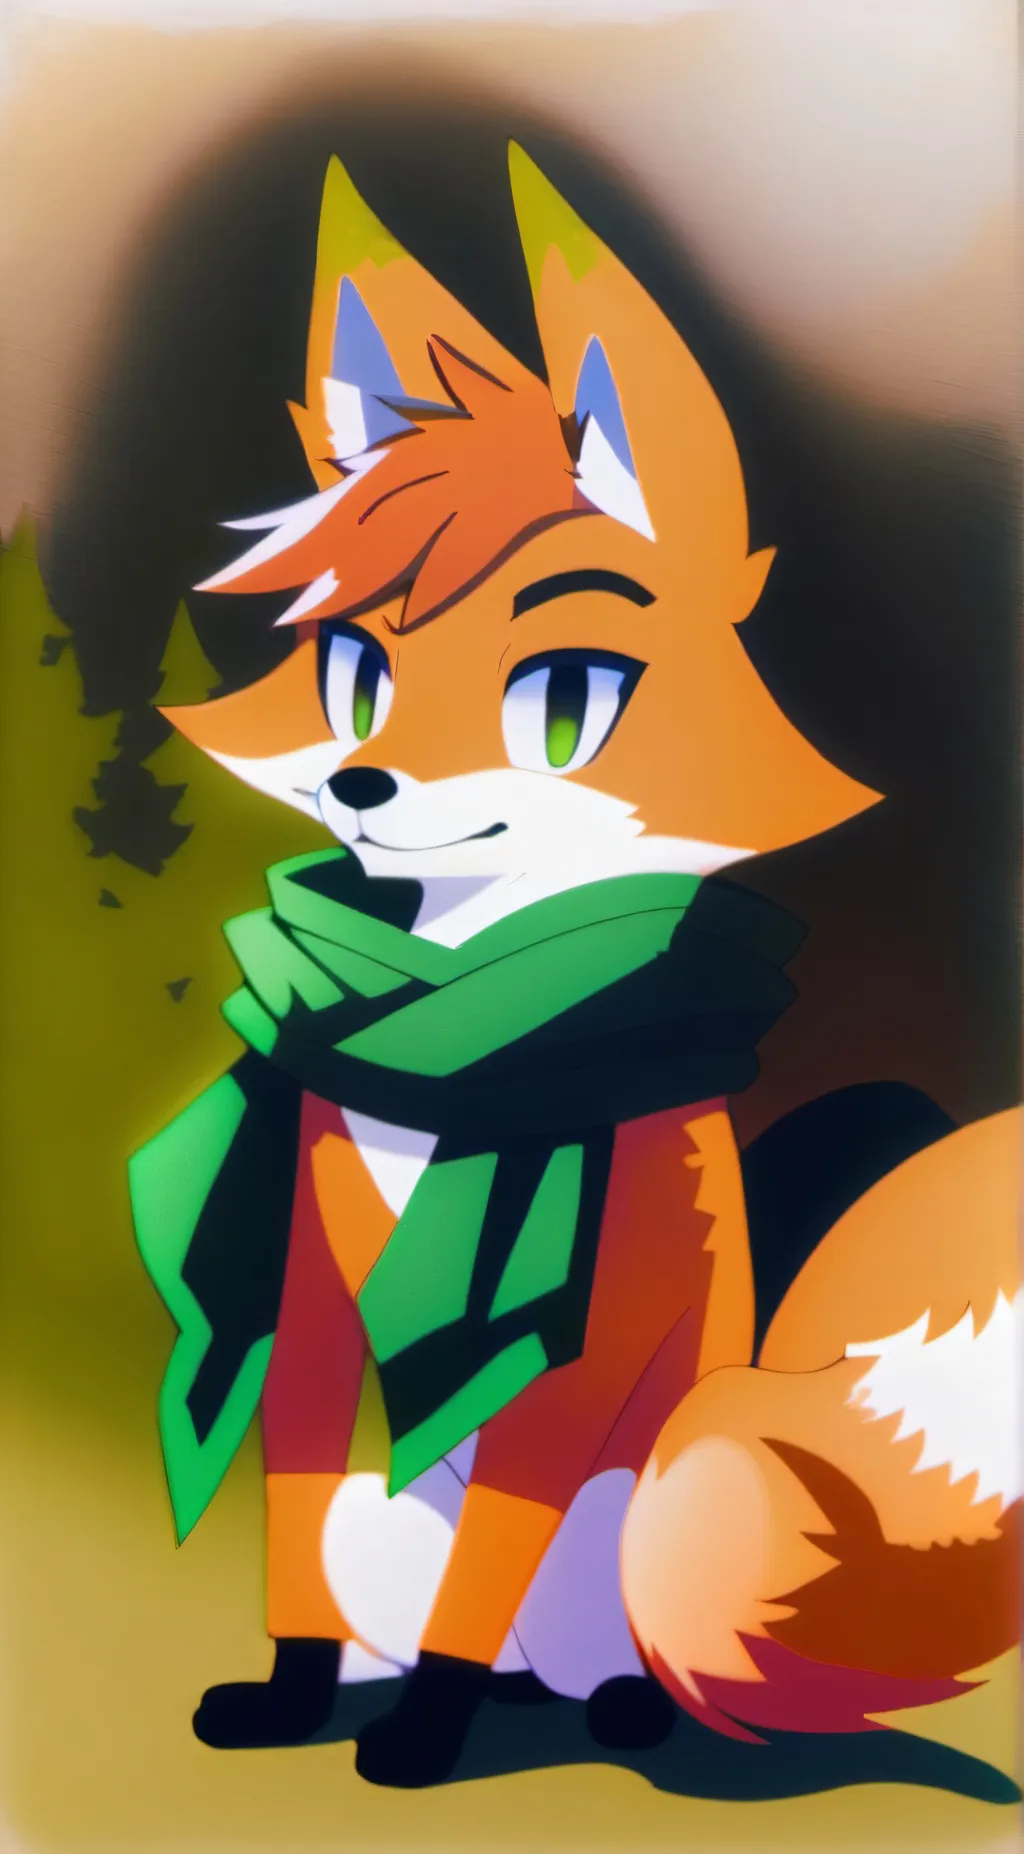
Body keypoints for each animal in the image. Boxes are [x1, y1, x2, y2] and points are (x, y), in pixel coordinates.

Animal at [129, 144, 1021, 1789]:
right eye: (356, 668)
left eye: (567, 699)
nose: (361, 786)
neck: (452, 1034)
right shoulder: (311, 1302)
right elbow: (291, 1495)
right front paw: (291, 1696)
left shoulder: (572, 1359)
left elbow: (500, 1539)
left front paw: (419, 1740)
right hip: (394, 1525)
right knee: (418, 1598)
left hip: (654, 1507)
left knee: (597, 1655)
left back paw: (596, 1707)